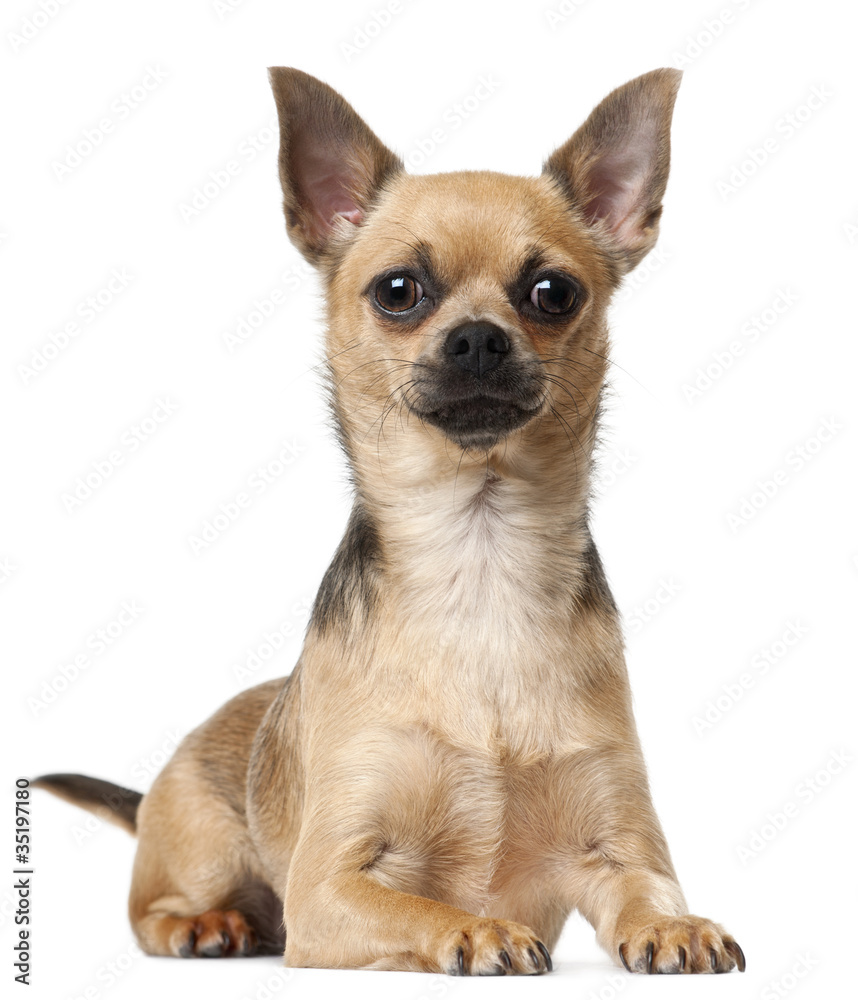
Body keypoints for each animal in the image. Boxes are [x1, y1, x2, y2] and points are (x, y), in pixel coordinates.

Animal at [36, 68, 744, 976]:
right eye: (398, 291)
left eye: (553, 293)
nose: (478, 338)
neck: (479, 556)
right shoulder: (328, 890)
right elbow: (415, 906)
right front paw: (475, 928)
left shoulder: (620, 844)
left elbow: (650, 891)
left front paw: (677, 925)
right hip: (201, 845)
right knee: (153, 911)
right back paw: (209, 925)